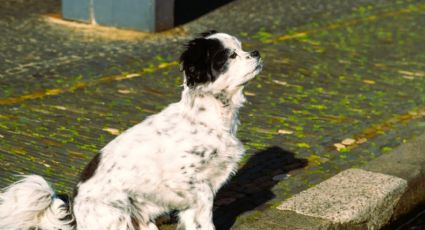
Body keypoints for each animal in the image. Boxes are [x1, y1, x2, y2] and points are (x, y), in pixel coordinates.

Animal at [0, 31, 260, 230]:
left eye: (241, 48)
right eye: (231, 55)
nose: (256, 53)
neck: (207, 118)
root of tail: (75, 214)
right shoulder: (187, 181)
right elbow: (204, 210)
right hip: (118, 213)